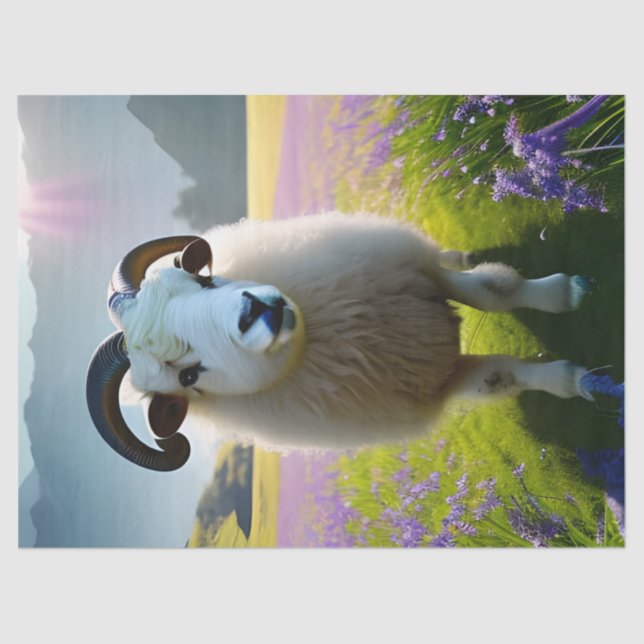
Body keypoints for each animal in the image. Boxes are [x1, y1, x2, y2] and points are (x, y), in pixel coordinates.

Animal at [86, 211, 593, 471]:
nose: (258, 310)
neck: (333, 332)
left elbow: (492, 291)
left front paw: (565, 293)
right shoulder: (443, 383)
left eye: (204, 280)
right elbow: (501, 377)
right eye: (188, 377)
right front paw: (574, 380)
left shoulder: (423, 273)